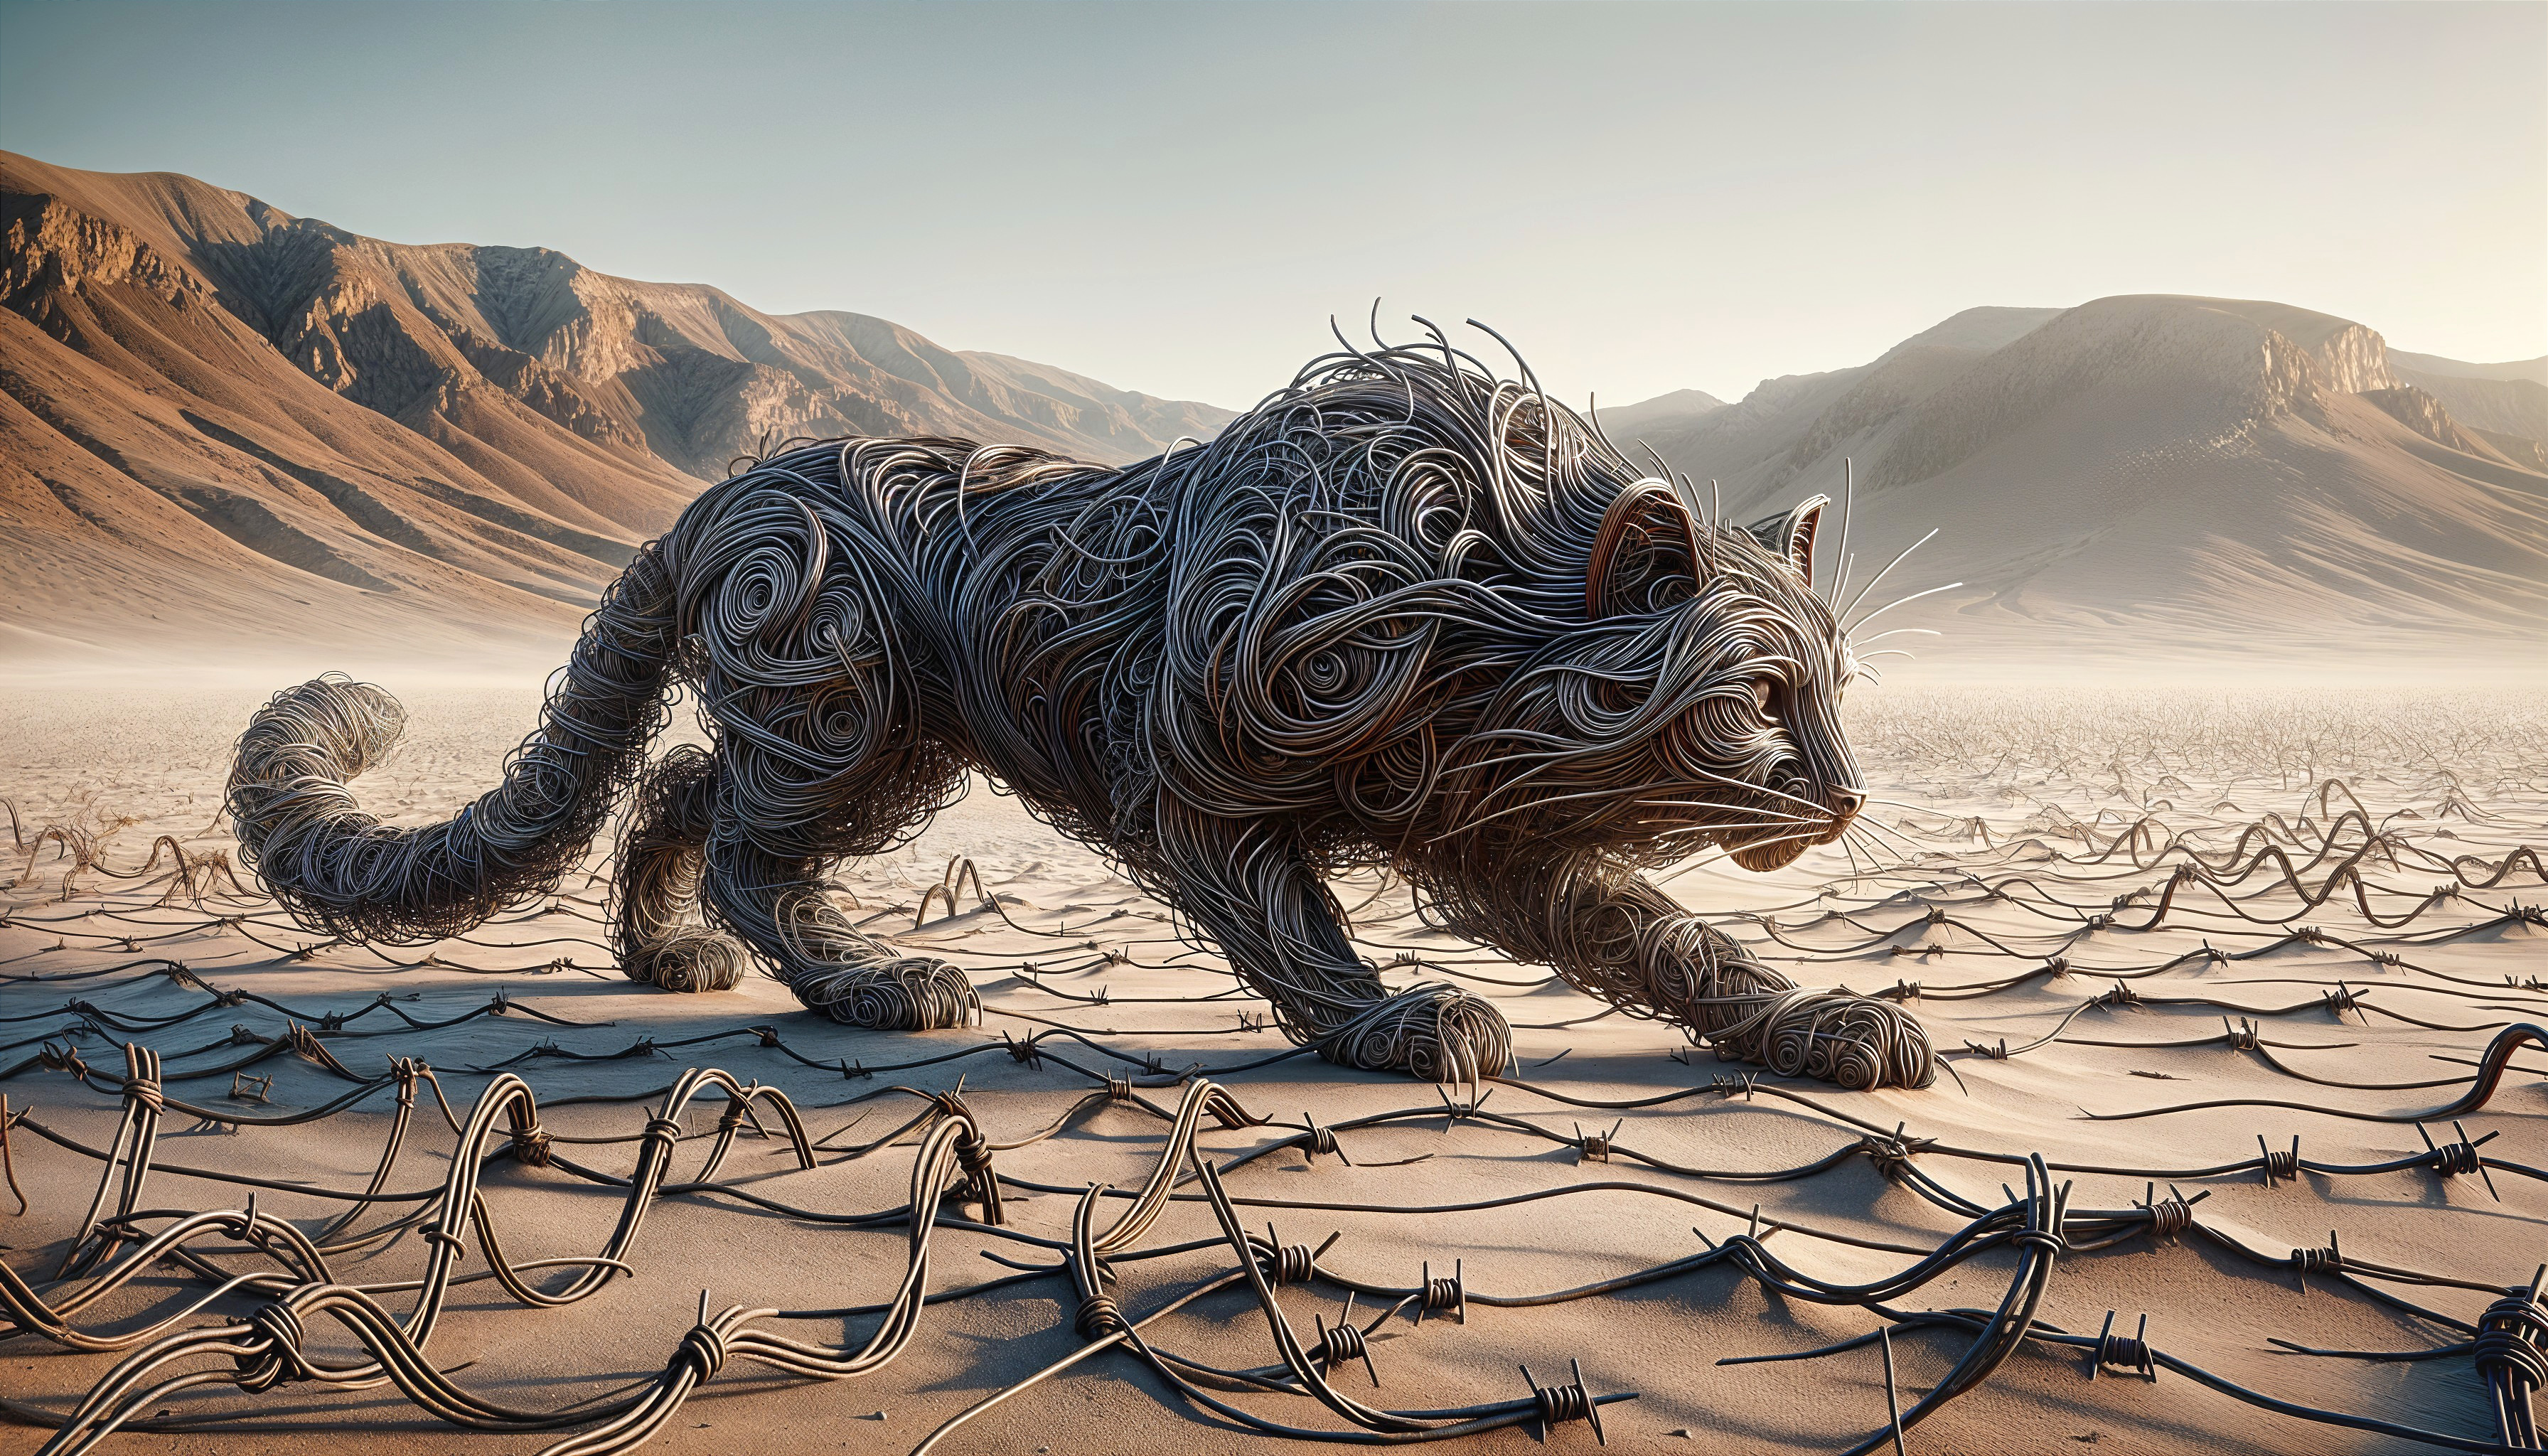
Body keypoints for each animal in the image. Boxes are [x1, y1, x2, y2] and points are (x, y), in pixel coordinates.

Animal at [226, 328, 1934, 1089]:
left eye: (1834, 692)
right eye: (1759, 696)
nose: (1847, 795)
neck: (1470, 611)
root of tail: (721, 498)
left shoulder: (1495, 830)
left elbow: (1667, 940)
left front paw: (1824, 1020)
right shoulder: (1194, 788)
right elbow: (1294, 922)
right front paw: (1398, 1020)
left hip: (857, 734)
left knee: (677, 792)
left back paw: (665, 957)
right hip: (846, 708)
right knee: (746, 850)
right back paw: (877, 983)